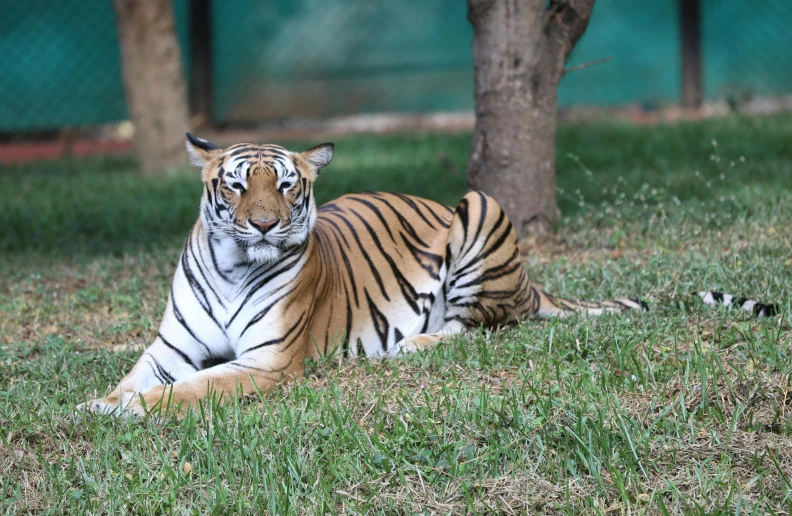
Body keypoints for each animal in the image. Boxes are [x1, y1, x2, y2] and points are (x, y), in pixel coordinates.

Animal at [76, 134, 780, 420]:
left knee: (478, 327)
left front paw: (135, 409)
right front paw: (100, 403)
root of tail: (531, 282)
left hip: (480, 210)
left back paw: (412, 344)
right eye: (236, 185)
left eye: (287, 186)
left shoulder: (266, 362)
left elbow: (196, 388)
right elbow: (136, 376)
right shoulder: (169, 347)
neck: (232, 266)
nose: (265, 226)